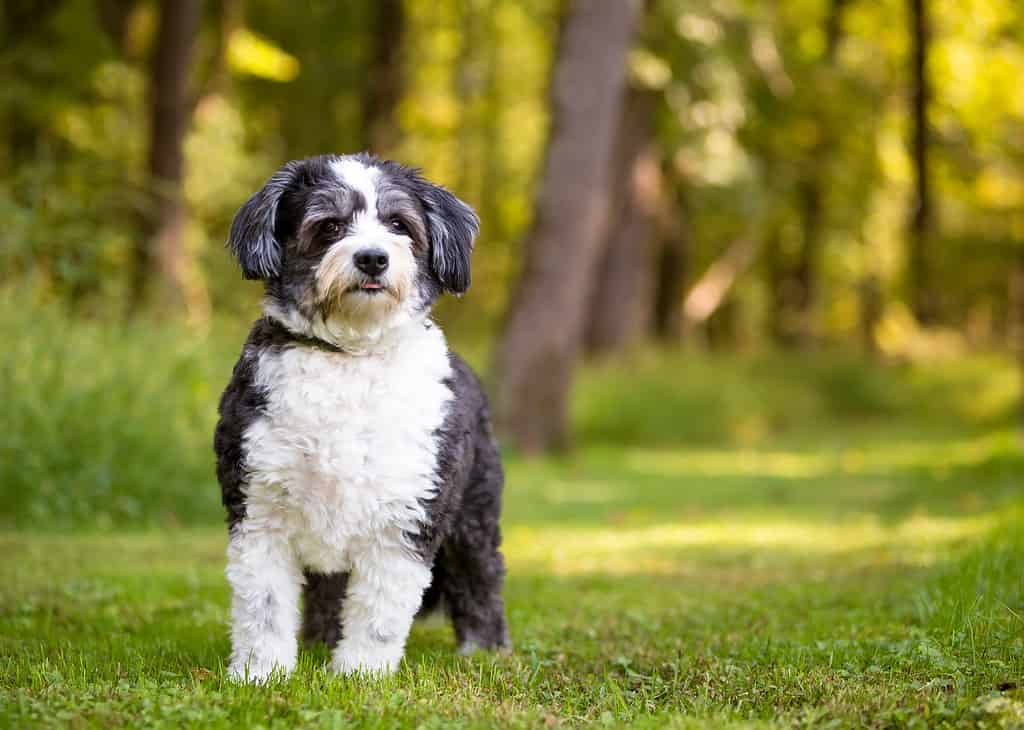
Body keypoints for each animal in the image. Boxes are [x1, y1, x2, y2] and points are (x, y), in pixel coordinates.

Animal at [212, 150, 507, 679]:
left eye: (398, 224)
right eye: (329, 226)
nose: (372, 257)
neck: (349, 357)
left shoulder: (406, 518)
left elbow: (378, 614)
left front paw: (359, 675)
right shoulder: (260, 511)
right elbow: (263, 606)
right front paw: (260, 674)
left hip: (473, 516)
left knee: (481, 576)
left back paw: (484, 649)